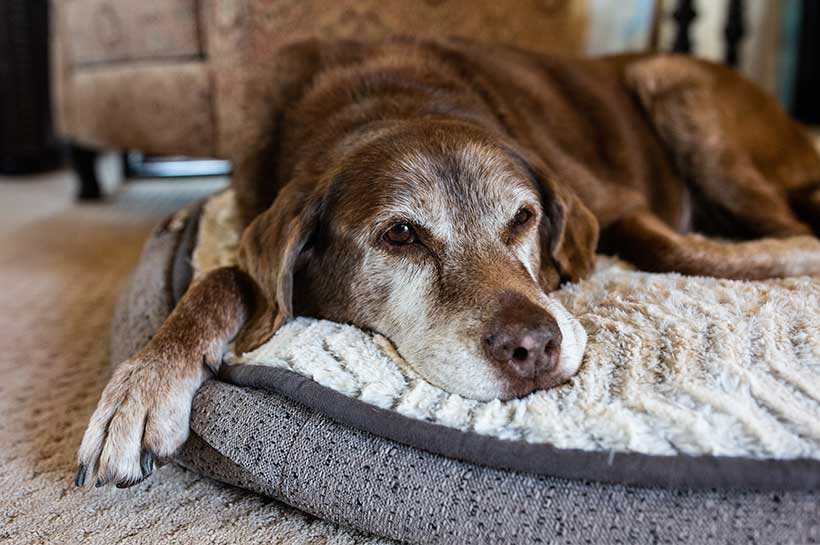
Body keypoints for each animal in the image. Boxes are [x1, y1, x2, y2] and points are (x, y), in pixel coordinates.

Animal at [75, 39, 820, 488]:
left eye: (522, 218)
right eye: (402, 234)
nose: (534, 347)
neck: (391, 101)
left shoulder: (615, 204)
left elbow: (669, 247)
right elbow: (225, 277)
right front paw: (142, 386)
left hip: (678, 89)